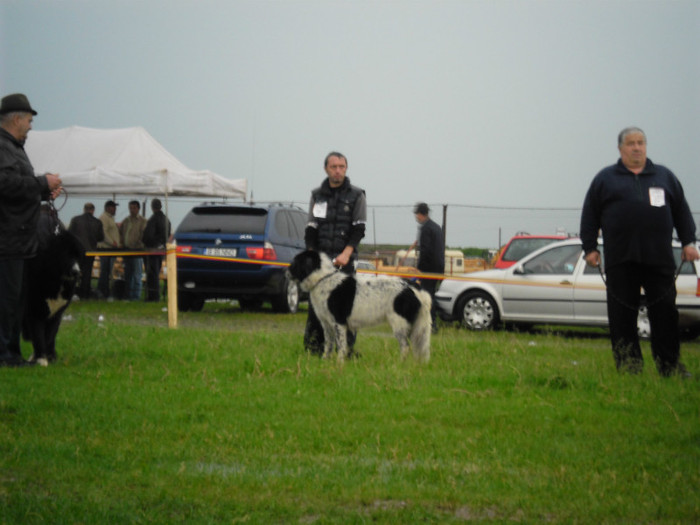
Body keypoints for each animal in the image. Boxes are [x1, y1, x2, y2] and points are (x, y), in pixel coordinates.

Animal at [22, 229, 83, 364]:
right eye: (66, 254)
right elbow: (38, 336)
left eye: (78, 256)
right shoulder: (35, 311)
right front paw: (41, 359)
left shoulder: (56, 314)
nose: (76, 272)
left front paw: (51, 358)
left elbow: (49, 336)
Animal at [288, 250, 432, 360]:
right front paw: (325, 361)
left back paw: (399, 364)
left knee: (405, 346)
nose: (286, 272)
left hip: (399, 324)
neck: (323, 278)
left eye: (295, 262)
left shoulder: (339, 323)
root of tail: (413, 287)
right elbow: (328, 345)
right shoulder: (327, 324)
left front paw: (339, 364)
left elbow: (341, 345)